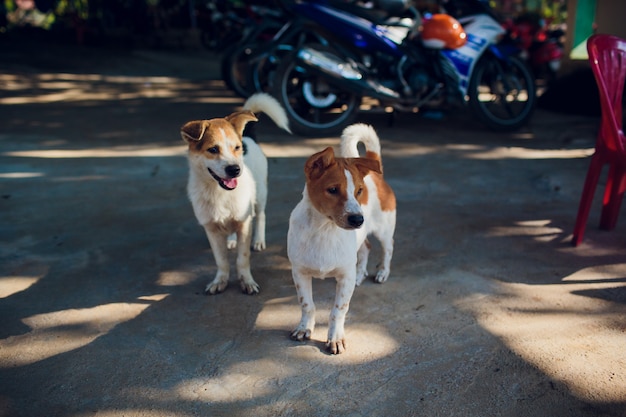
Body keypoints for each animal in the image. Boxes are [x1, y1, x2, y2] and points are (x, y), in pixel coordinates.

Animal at [179, 93, 288, 296]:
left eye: (236, 148)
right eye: (213, 149)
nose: (235, 170)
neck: (219, 192)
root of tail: (248, 136)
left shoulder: (244, 225)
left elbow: (242, 259)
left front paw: (247, 281)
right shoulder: (211, 229)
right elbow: (221, 260)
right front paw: (220, 281)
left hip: (260, 195)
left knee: (261, 215)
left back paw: (259, 240)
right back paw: (231, 240)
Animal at [286, 123, 394, 354]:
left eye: (359, 191)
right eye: (333, 190)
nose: (358, 219)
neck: (324, 230)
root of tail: (376, 174)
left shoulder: (344, 277)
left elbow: (338, 310)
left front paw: (335, 337)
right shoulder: (300, 273)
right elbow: (307, 304)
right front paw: (304, 328)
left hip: (385, 230)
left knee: (387, 249)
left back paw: (382, 272)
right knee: (366, 247)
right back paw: (361, 274)